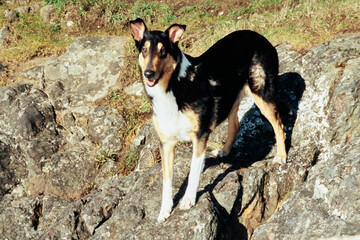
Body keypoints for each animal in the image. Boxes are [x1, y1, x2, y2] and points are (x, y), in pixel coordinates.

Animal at [129, 17, 286, 222]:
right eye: (144, 50)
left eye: (163, 52)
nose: (148, 73)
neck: (173, 87)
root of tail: (258, 35)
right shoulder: (166, 143)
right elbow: (166, 179)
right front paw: (164, 210)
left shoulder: (200, 135)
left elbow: (194, 171)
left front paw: (188, 199)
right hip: (231, 99)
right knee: (235, 126)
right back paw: (224, 151)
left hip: (262, 94)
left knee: (279, 124)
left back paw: (281, 157)